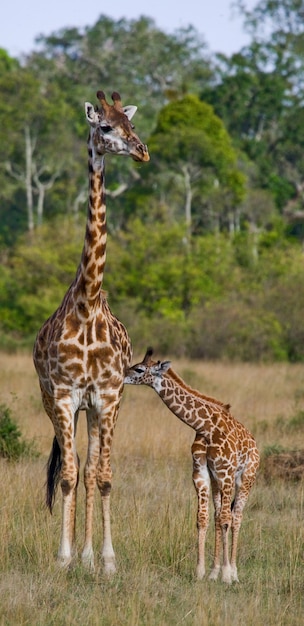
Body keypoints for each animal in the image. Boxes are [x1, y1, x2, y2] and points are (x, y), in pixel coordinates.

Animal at [124, 346, 260, 580]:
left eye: (140, 369)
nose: (121, 375)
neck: (206, 427)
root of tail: (255, 444)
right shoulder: (201, 474)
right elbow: (203, 518)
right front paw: (202, 571)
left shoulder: (226, 473)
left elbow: (227, 519)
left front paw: (226, 574)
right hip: (217, 482)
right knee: (218, 516)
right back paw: (216, 571)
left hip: (245, 478)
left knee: (236, 516)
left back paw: (233, 572)